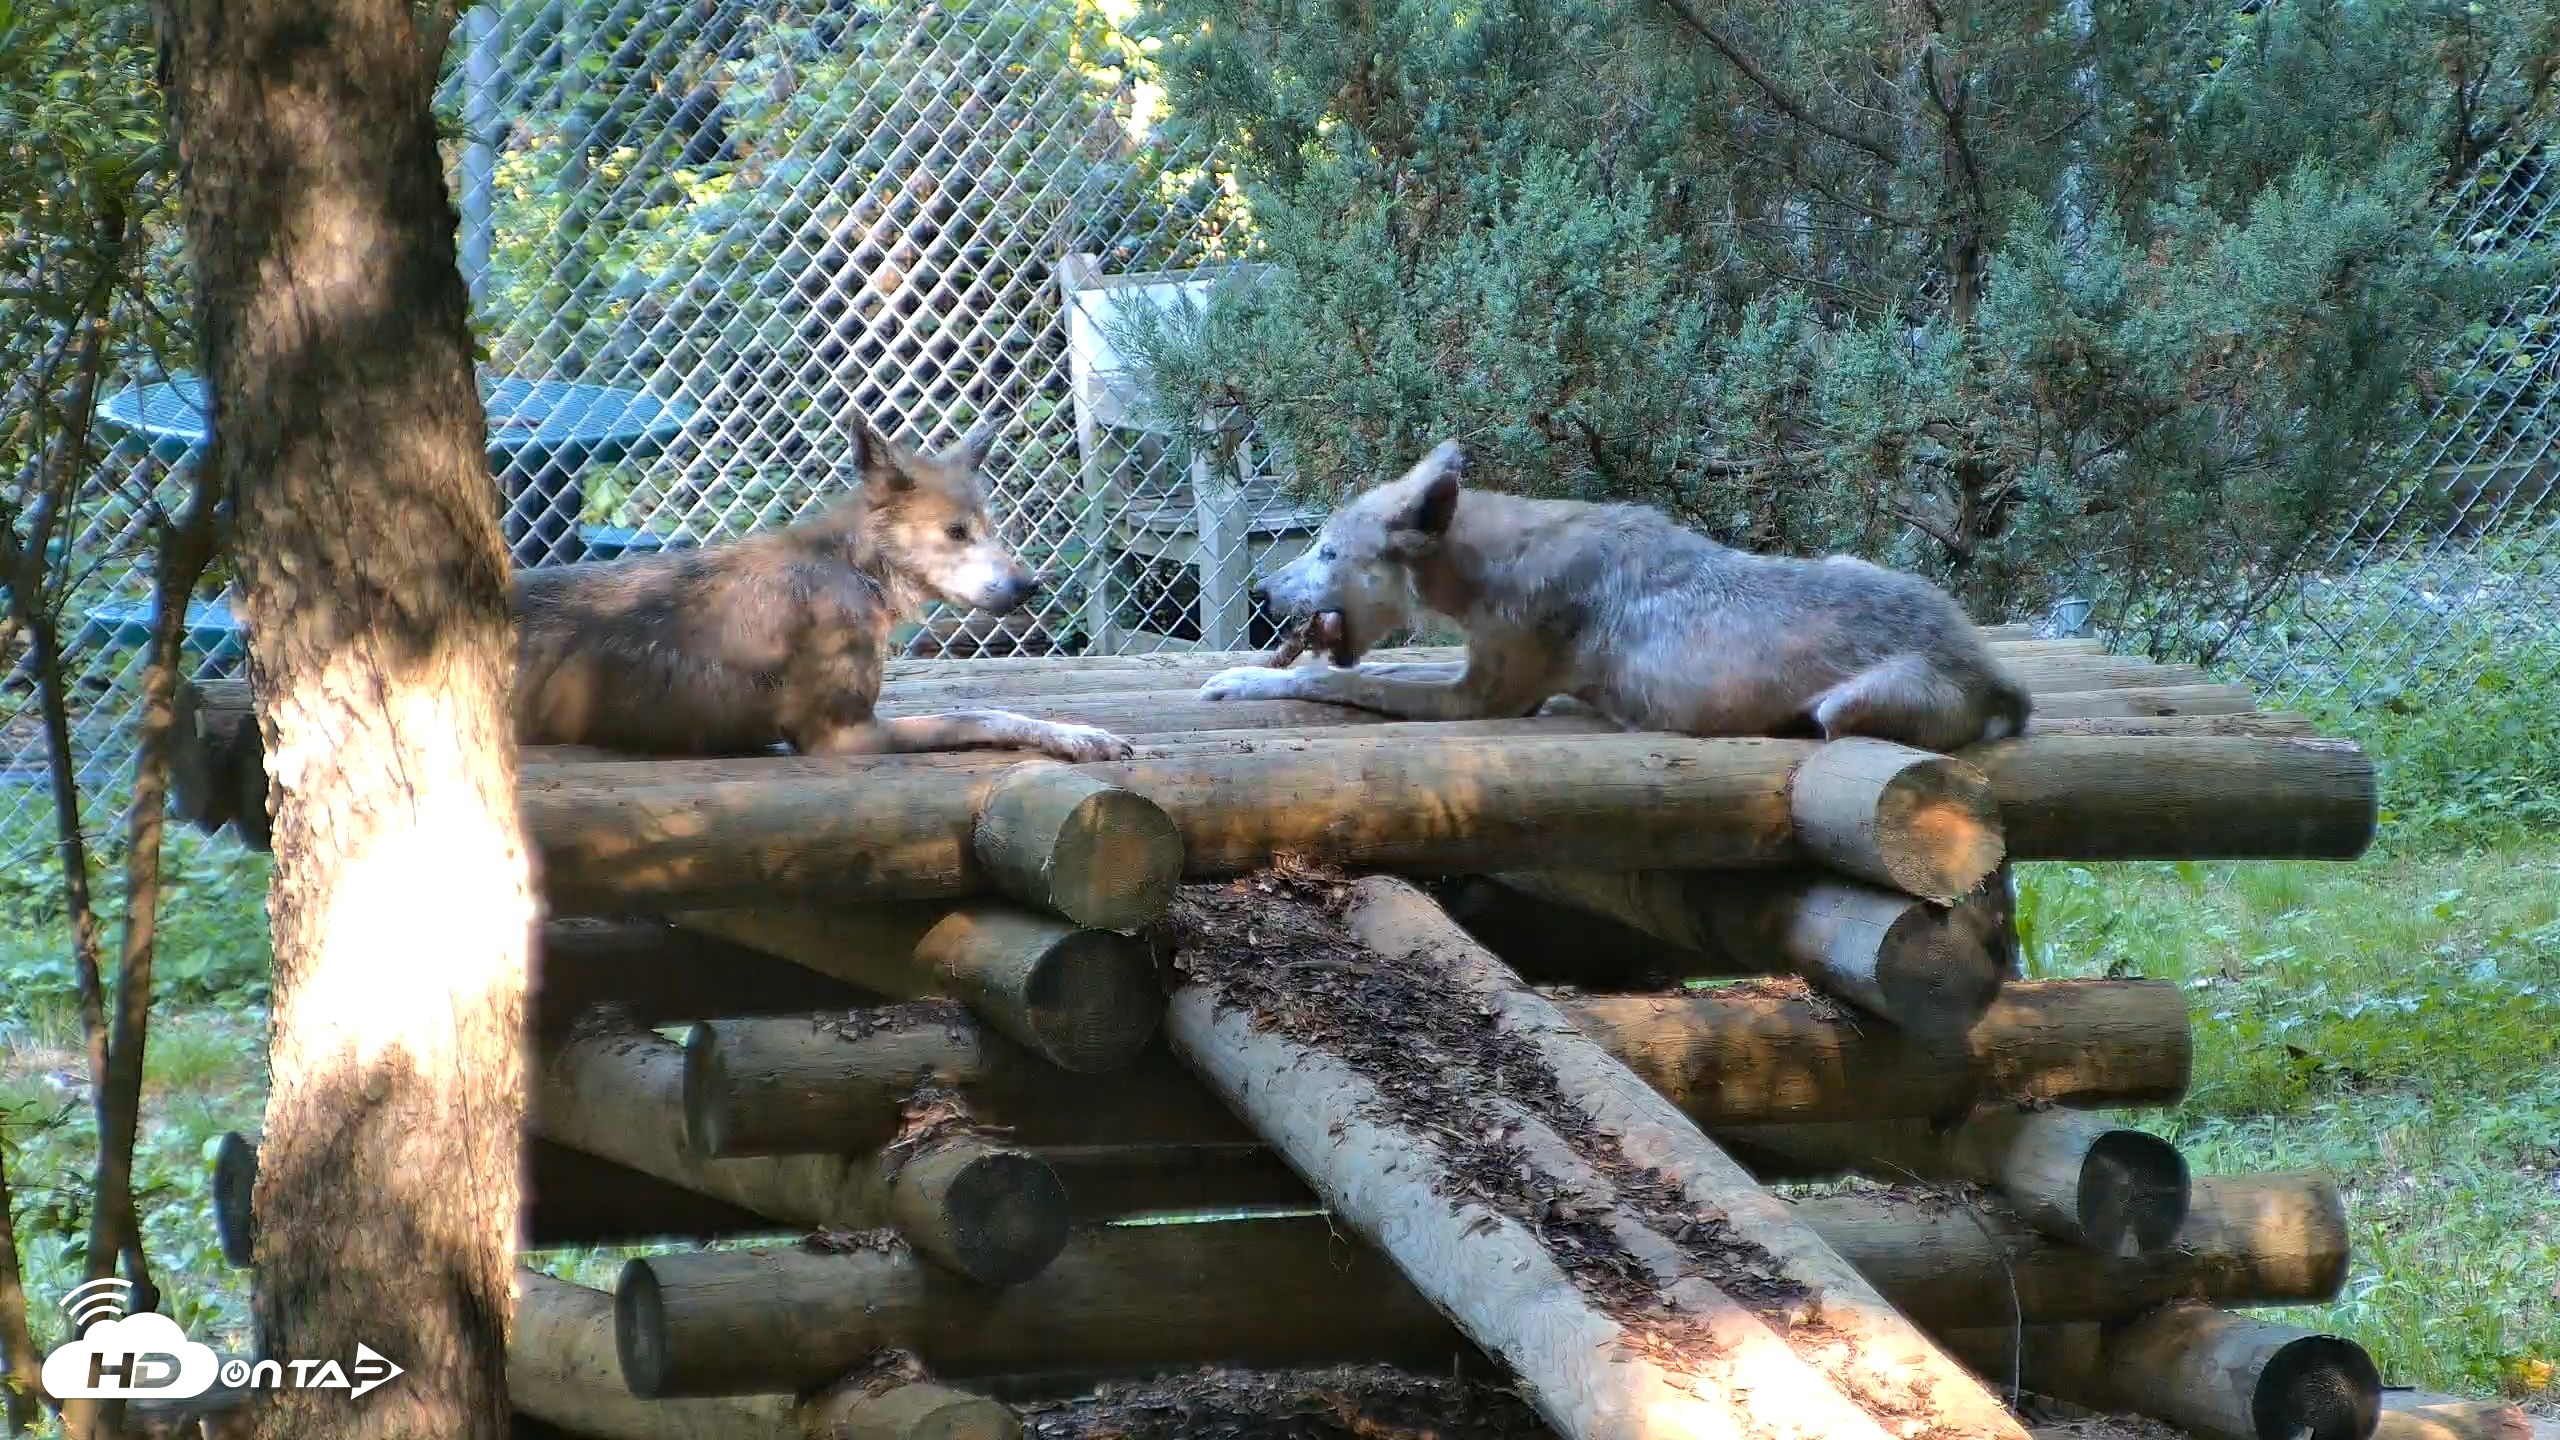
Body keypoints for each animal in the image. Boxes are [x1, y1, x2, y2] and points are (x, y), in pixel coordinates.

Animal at [513, 419, 1132, 761]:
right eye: (956, 533)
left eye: (990, 527)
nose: (1031, 586)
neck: (853, 569)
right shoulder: (843, 736)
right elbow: (984, 715)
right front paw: (1080, 737)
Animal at [1196, 439, 2030, 752]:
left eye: (1328, 550)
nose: (1262, 589)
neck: (1490, 561)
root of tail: (1992, 669)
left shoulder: (1482, 700)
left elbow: (1335, 680)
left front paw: (1238, 678)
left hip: (1845, 708)